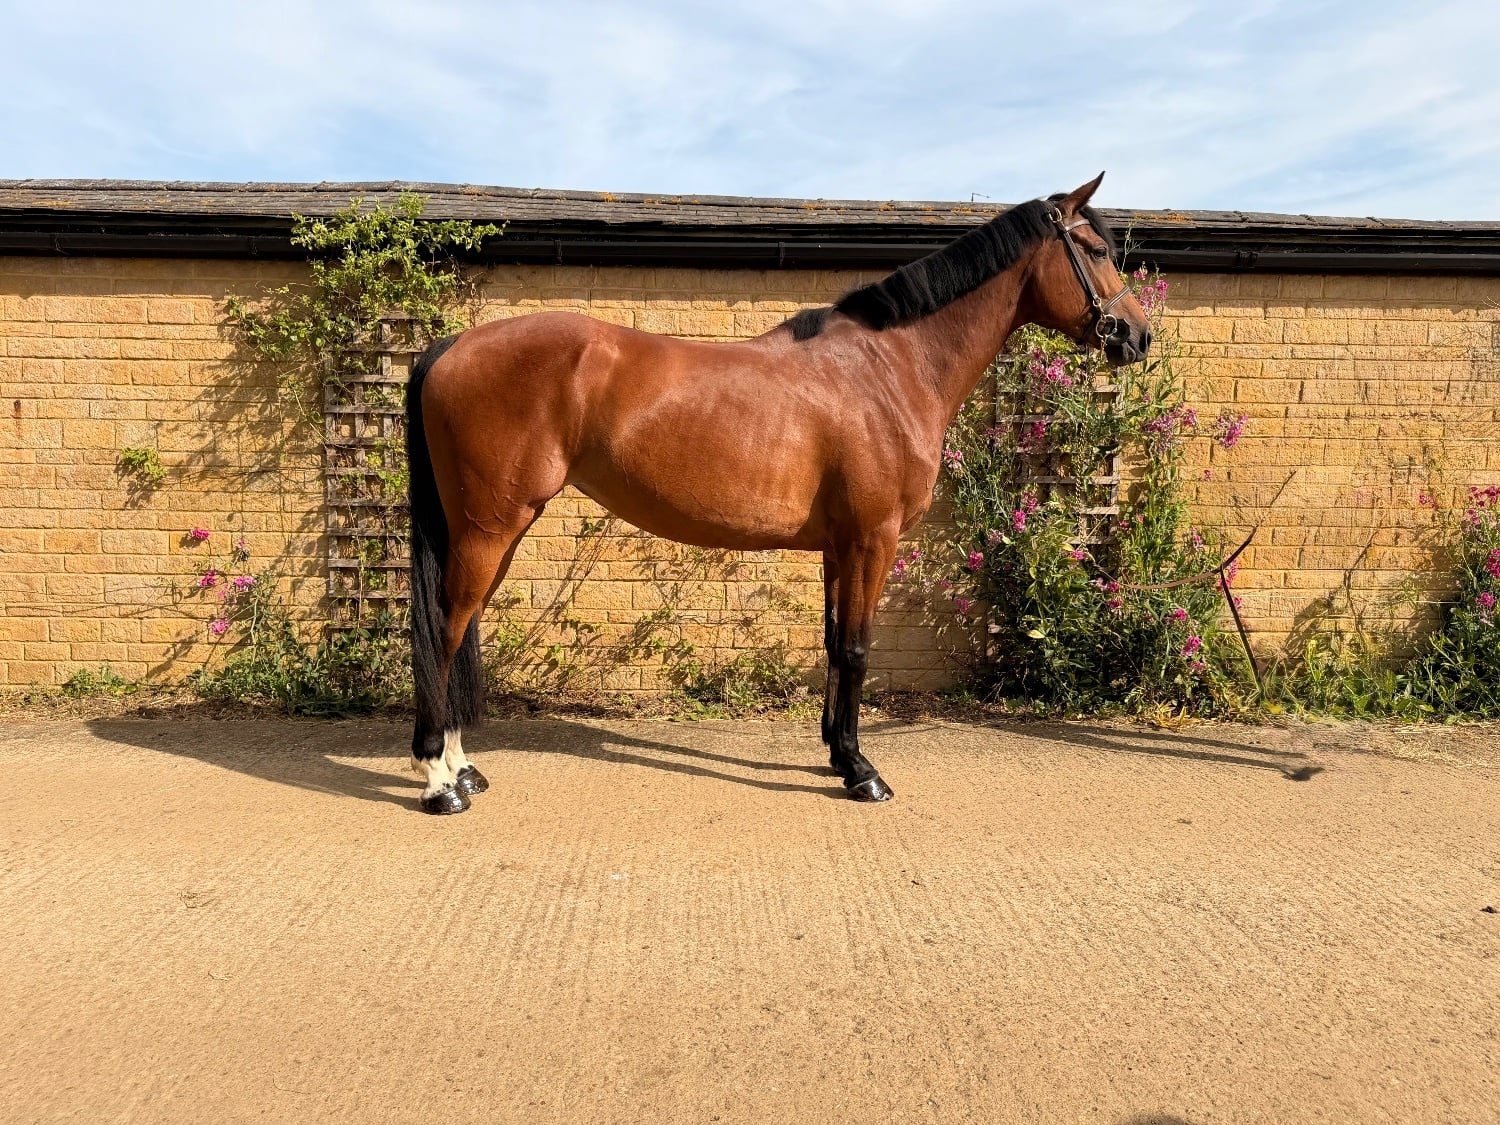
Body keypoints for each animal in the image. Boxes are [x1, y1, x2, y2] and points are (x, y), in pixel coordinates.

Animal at [404, 173, 1151, 814]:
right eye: (1092, 248)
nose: (1138, 335)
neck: (891, 367)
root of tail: (450, 346)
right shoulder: (873, 539)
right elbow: (857, 649)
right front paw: (864, 773)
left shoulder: (839, 546)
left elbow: (833, 643)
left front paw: (838, 754)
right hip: (492, 525)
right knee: (446, 626)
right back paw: (440, 780)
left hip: (494, 528)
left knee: (459, 626)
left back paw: (465, 768)